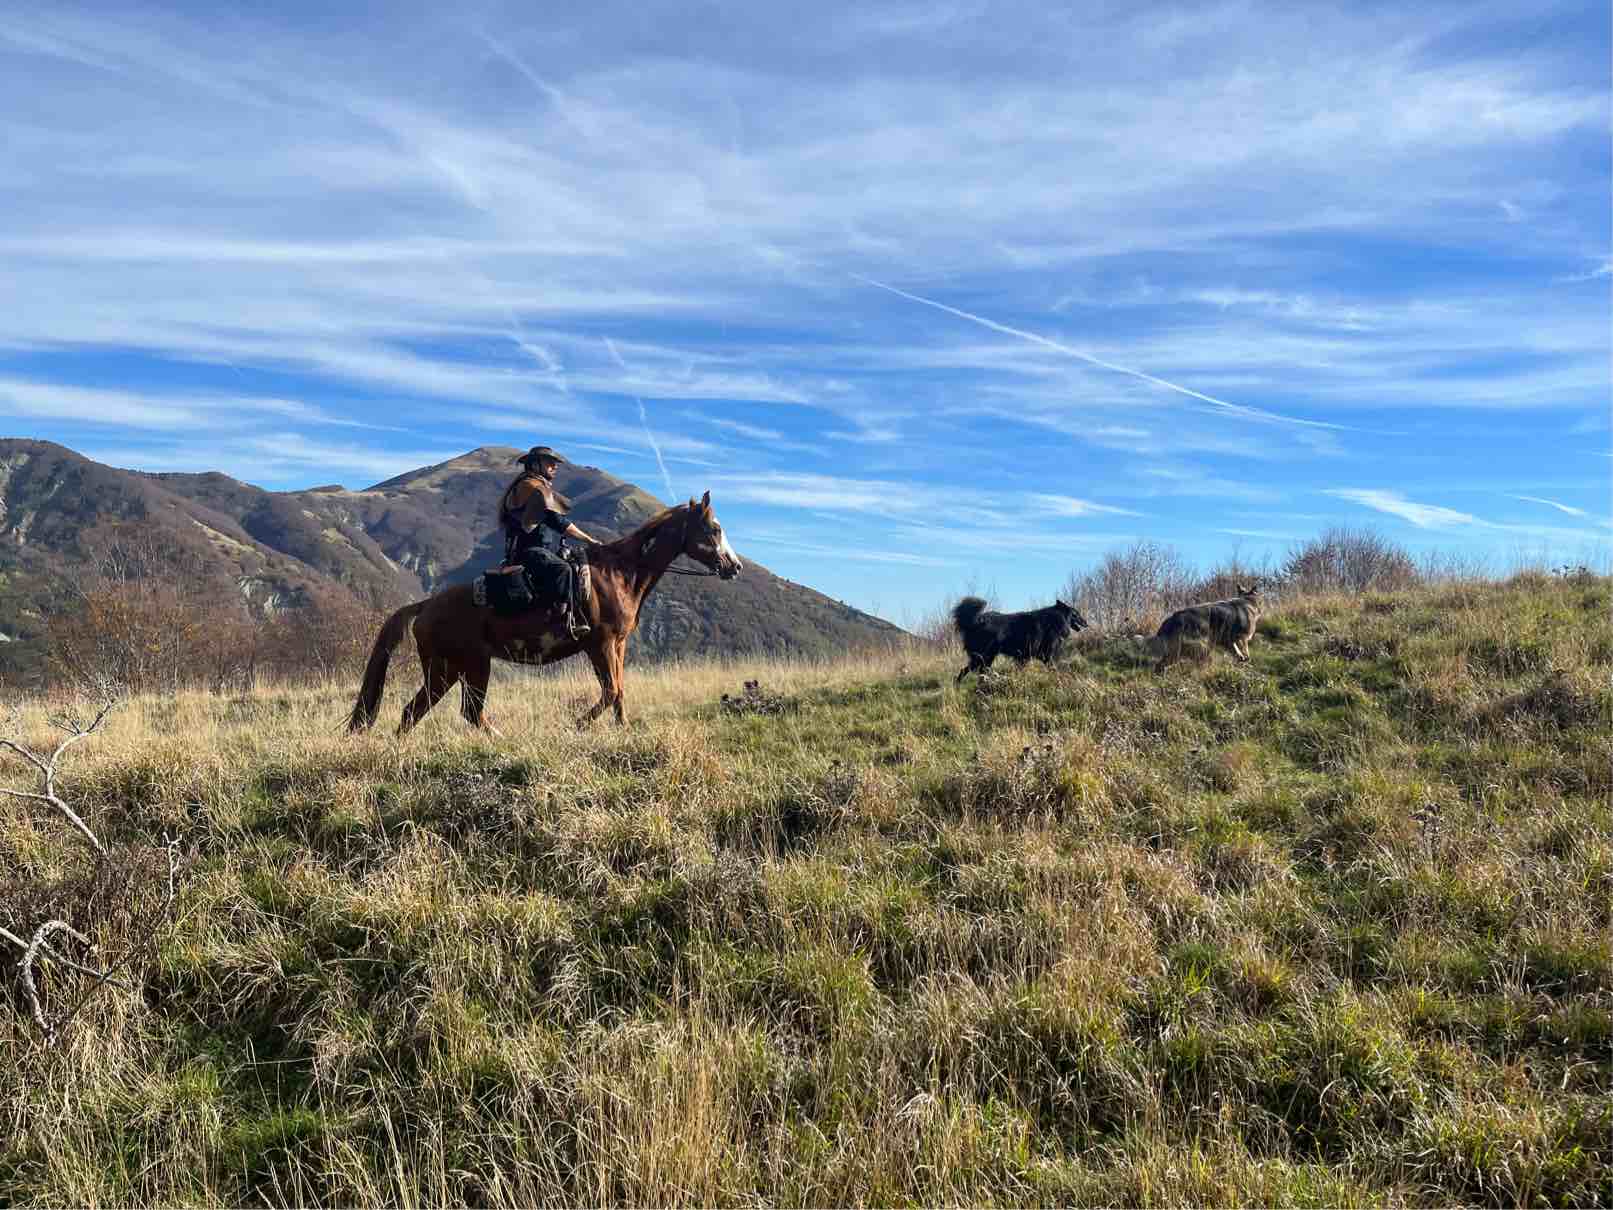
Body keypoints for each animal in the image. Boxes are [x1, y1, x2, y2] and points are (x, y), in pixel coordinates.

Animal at [347, 492, 742, 734]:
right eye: (714, 528)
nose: (734, 566)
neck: (619, 573)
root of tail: (426, 606)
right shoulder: (599, 644)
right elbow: (610, 691)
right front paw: (577, 726)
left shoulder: (618, 645)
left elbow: (620, 692)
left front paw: (623, 728)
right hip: (464, 666)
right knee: (457, 712)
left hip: (449, 670)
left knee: (419, 712)